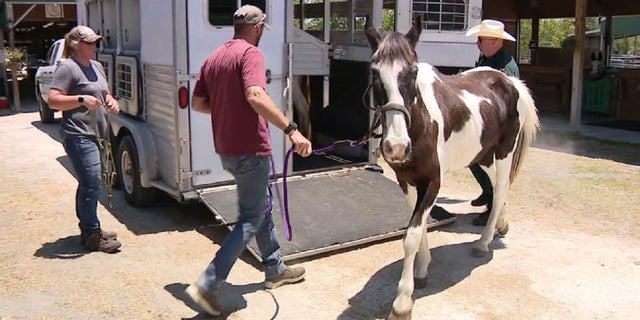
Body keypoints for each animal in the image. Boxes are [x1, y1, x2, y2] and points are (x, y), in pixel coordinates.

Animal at [364, 16, 540, 320]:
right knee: (498, 188)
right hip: (484, 156)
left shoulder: (433, 181)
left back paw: (483, 242)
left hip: (504, 153)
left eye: (413, 72)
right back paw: (501, 225)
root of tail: (510, 80)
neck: (420, 123)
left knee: (500, 189)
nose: (396, 146)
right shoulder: (407, 181)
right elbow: (419, 226)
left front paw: (403, 301)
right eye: (374, 72)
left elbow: (411, 235)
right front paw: (422, 270)